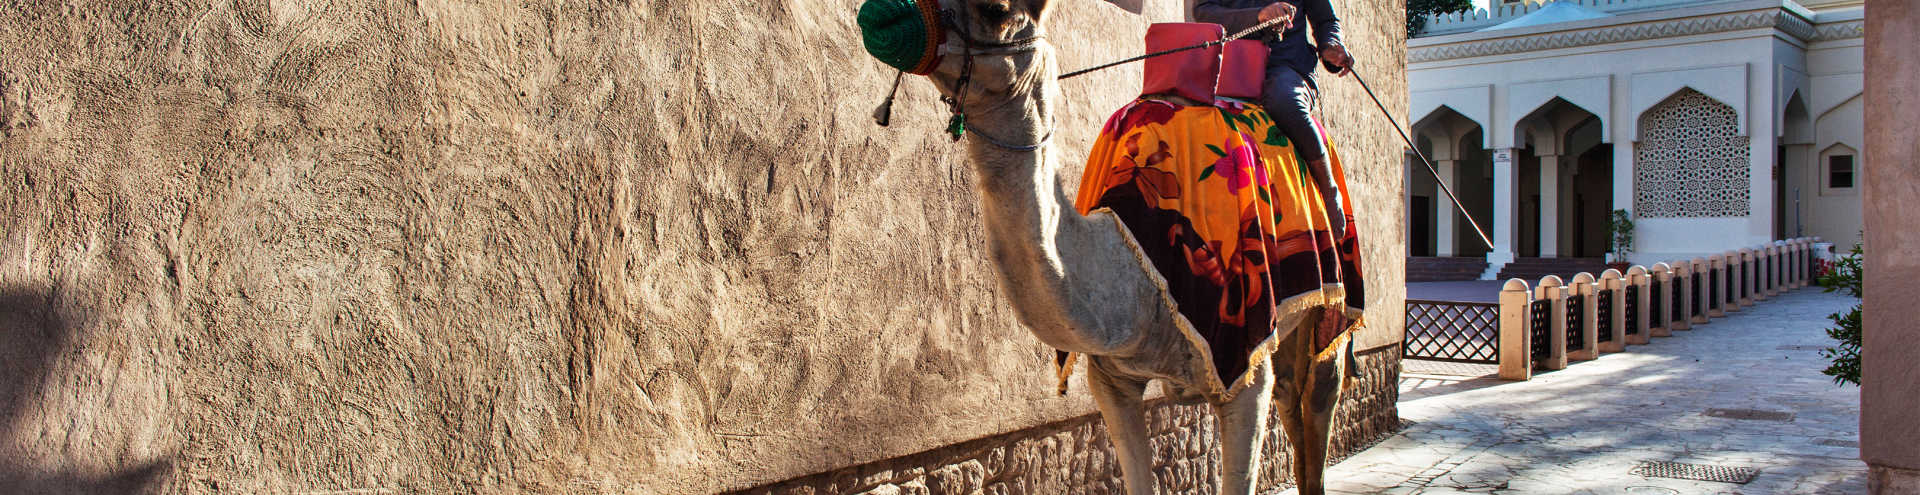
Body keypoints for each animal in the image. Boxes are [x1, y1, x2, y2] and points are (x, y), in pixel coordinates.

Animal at [864, 1, 1352, 493]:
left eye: (996, 10)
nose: (878, 16)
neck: (1138, 277)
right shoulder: (1112, 380)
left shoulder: (1243, 361)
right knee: (1292, 392)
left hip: (1332, 296)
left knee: (1321, 388)